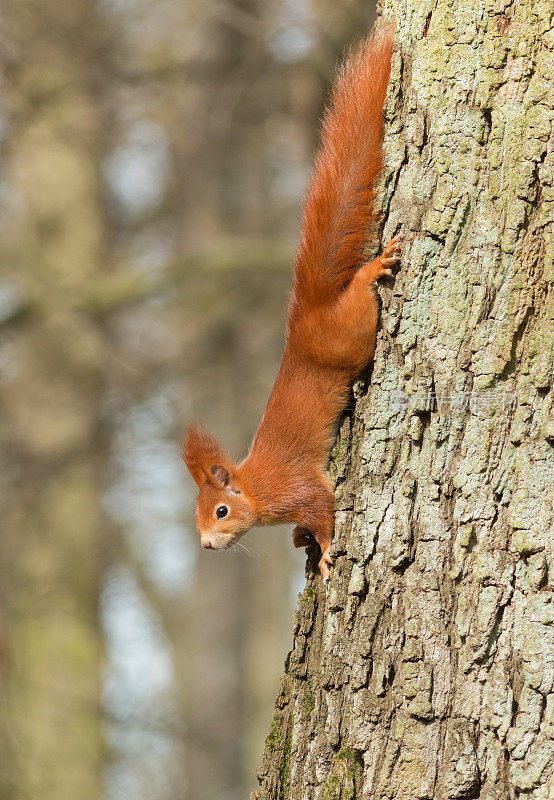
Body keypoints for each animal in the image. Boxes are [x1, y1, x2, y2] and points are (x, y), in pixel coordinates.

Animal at [183, 26, 398, 580]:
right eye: (196, 514)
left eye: (220, 511)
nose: (207, 545)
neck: (256, 488)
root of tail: (307, 317)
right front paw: (303, 540)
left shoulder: (298, 490)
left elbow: (323, 510)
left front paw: (323, 556)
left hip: (352, 334)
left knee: (359, 301)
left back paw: (371, 271)